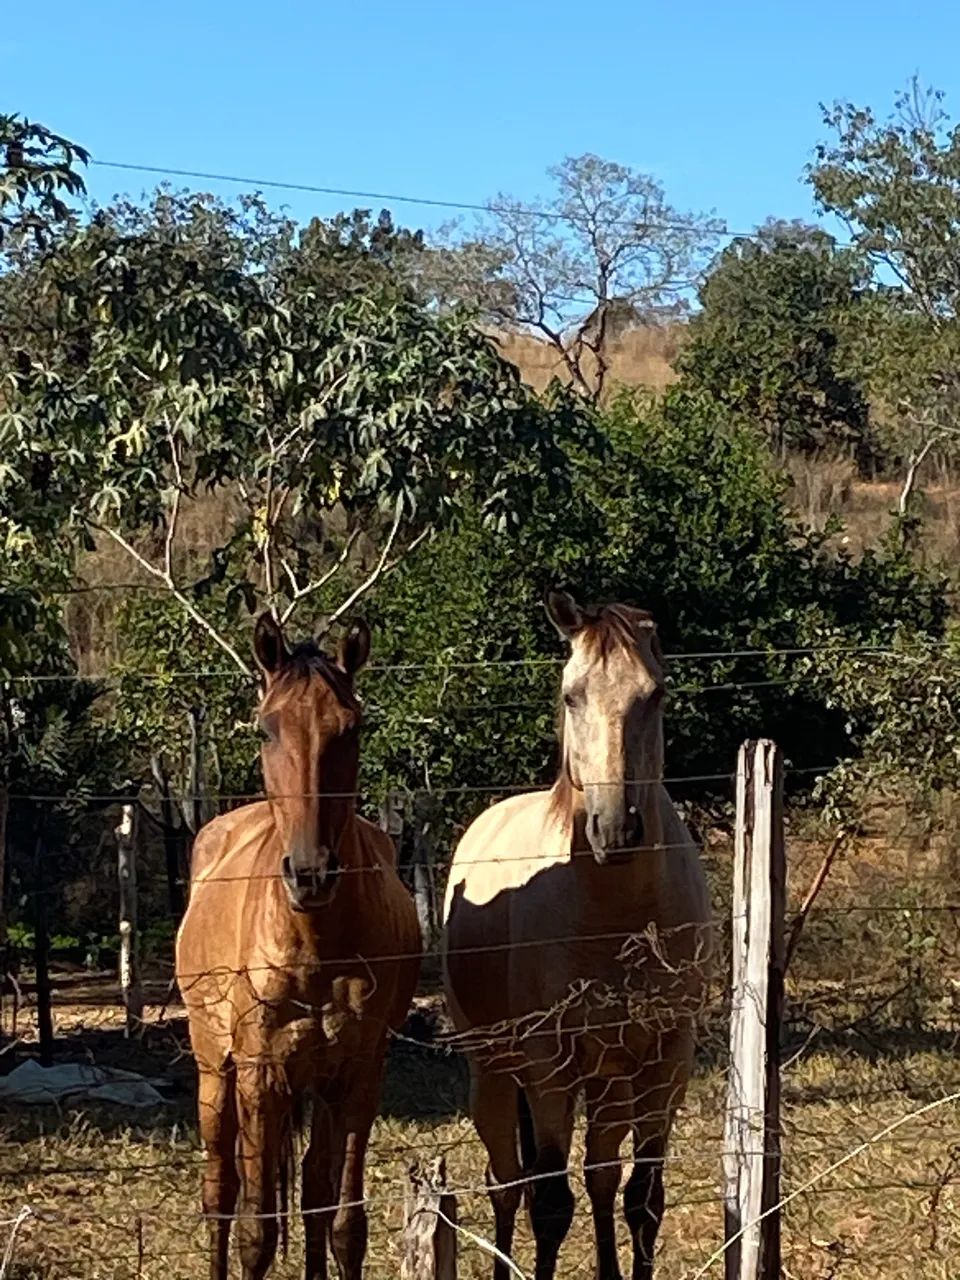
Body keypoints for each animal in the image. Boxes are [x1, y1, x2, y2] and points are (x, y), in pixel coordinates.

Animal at [176, 613, 421, 1280]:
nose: (310, 874)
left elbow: (343, 1223)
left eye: (351, 727)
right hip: (215, 1069)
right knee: (220, 1192)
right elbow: (256, 1232)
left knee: (312, 1190)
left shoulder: (359, 1074)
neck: (314, 945)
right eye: (267, 727)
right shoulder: (261, 1076)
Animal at [442, 591, 713, 1280]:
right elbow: (549, 1204)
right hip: (494, 1074)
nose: (614, 829)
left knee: (601, 1174)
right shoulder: (549, 1066)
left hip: (610, 1077)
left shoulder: (667, 1059)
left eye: (655, 694)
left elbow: (642, 1197)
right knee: (509, 1184)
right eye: (571, 695)